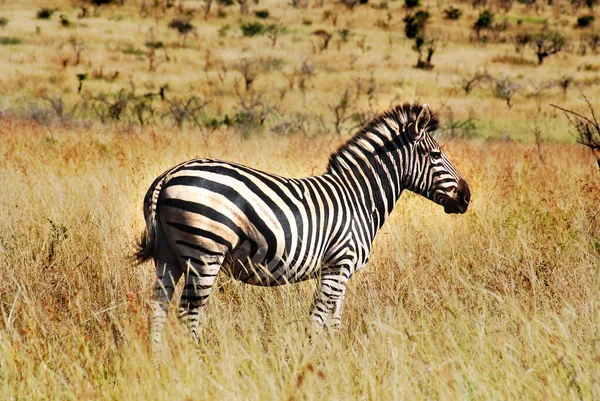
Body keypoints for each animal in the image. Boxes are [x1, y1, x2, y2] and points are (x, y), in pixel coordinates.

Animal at [135, 101, 468, 348]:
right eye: (436, 154)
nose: (466, 197)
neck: (359, 198)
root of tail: (169, 175)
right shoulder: (338, 265)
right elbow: (318, 318)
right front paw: (312, 359)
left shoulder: (341, 272)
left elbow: (335, 321)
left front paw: (335, 358)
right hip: (205, 252)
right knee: (188, 312)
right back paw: (199, 361)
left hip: (169, 254)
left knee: (159, 306)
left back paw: (159, 360)